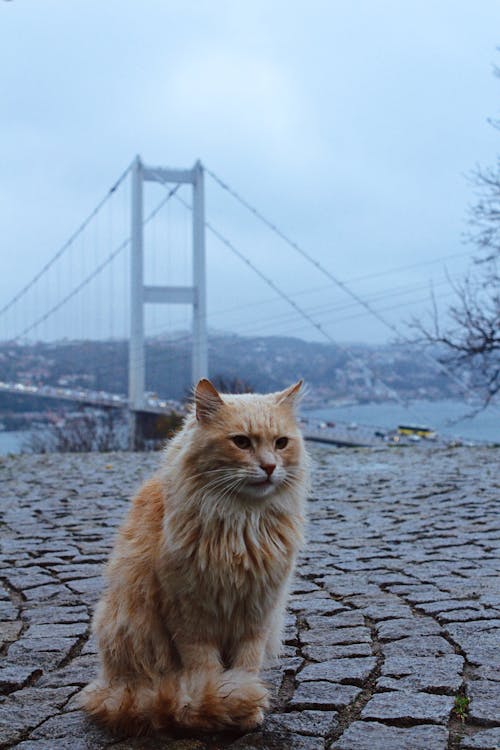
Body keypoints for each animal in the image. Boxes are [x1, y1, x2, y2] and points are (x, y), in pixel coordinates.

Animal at [81, 382, 308, 736]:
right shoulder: (189, 616)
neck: (242, 523)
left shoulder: (258, 613)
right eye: (241, 442)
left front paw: (245, 704)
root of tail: (107, 686)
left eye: (281, 443)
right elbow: (205, 670)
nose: (270, 467)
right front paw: (221, 702)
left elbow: (247, 664)